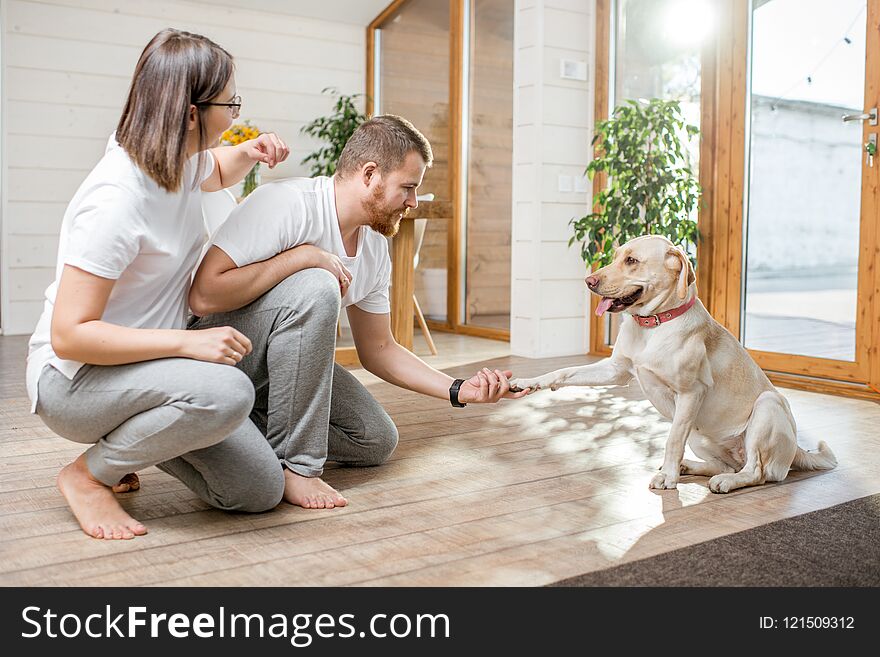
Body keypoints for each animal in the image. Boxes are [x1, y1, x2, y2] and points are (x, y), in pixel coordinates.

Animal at [506, 236, 836, 492]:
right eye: (615, 256)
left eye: (632, 260)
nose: (589, 281)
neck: (652, 325)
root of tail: (797, 451)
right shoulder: (615, 371)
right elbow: (563, 372)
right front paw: (527, 382)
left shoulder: (691, 394)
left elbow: (672, 440)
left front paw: (667, 478)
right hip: (701, 436)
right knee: (727, 465)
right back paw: (690, 467)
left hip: (767, 406)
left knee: (757, 471)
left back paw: (721, 481)